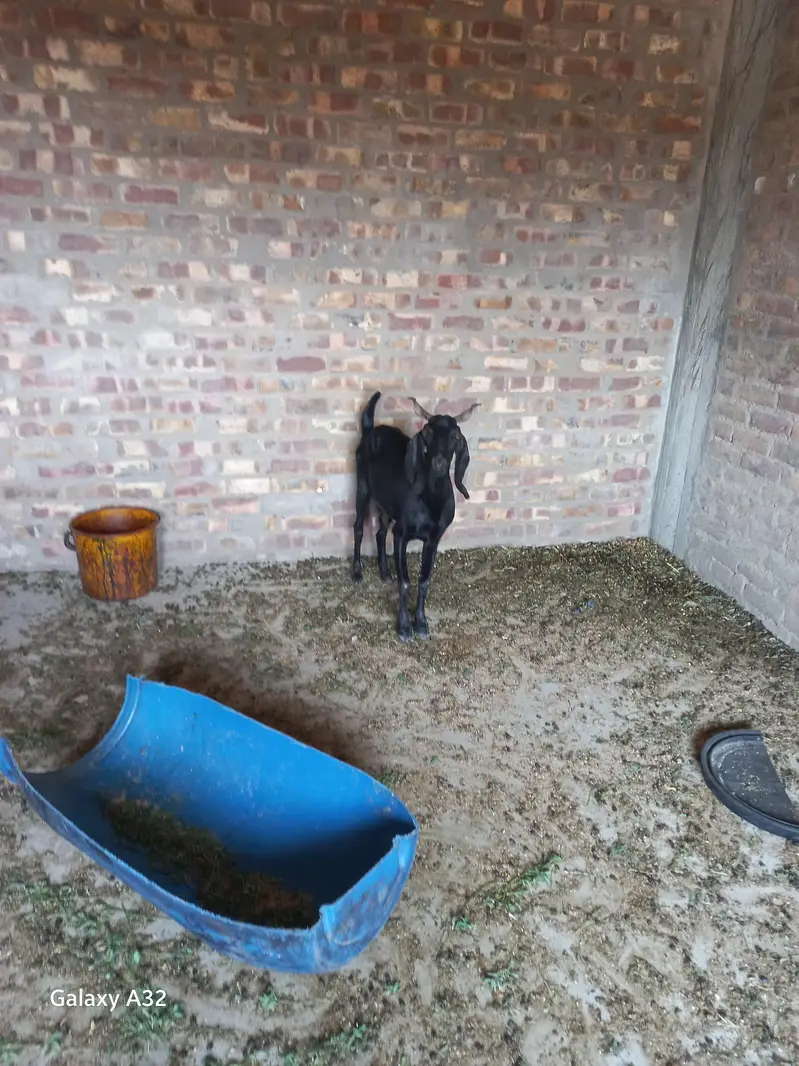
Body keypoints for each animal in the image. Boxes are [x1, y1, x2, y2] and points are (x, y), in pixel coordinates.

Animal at [352, 391, 479, 642]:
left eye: (455, 436)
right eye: (427, 432)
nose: (439, 463)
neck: (429, 502)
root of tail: (370, 429)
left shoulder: (433, 539)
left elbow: (423, 581)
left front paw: (421, 623)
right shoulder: (402, 535)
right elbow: (405, 583)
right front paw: (403, 627)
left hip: (386, 504)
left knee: (380, 532)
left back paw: (385, 573)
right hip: (362, 487)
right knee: (359, 526)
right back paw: (357, 572)